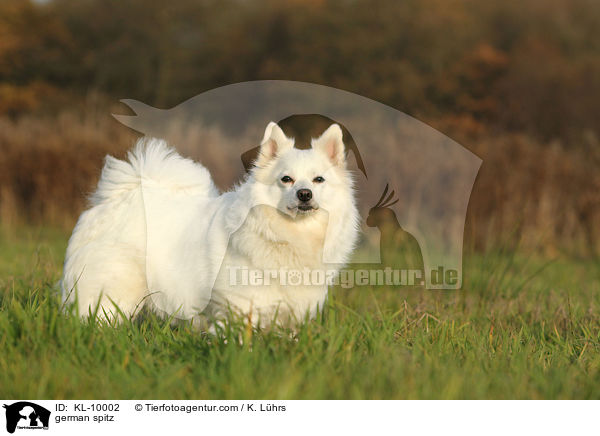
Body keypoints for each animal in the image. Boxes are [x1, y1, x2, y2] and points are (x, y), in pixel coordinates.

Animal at [62, 122, 356, 328]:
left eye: (318, 180)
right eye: (286, 179)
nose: (304, 194)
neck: (291, 235)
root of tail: (122, 196)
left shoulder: (291, 312)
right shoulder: (239, 306)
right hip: (111, 292)